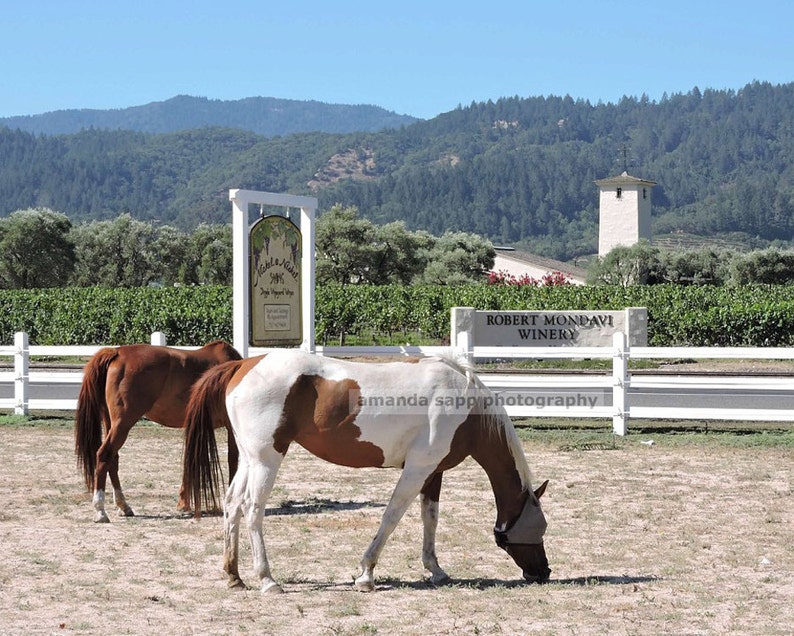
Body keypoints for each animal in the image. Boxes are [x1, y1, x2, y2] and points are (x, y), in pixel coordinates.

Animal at [75, 340, 242, 523]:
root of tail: (117, 352)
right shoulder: (230, 427)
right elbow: (233, 460)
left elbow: (189, 461)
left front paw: (184, 504)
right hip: (122, 424)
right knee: (104, 455)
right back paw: (100, 511)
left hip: (110, 423)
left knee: (113, 459)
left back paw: (123, 506)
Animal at [182, 349, 550, 592]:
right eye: (540, 529)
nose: (543, 572)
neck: (464, 400)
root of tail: (243, 364)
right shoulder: (417, 469)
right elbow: (391, 517)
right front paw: (366, 574)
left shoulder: (433, 472)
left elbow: (430, 518)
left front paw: (436, 569)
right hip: (266, 460)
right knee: (252, 509)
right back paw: (267, 579)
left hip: (248, 459)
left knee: (232, 504)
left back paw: (234, 575)